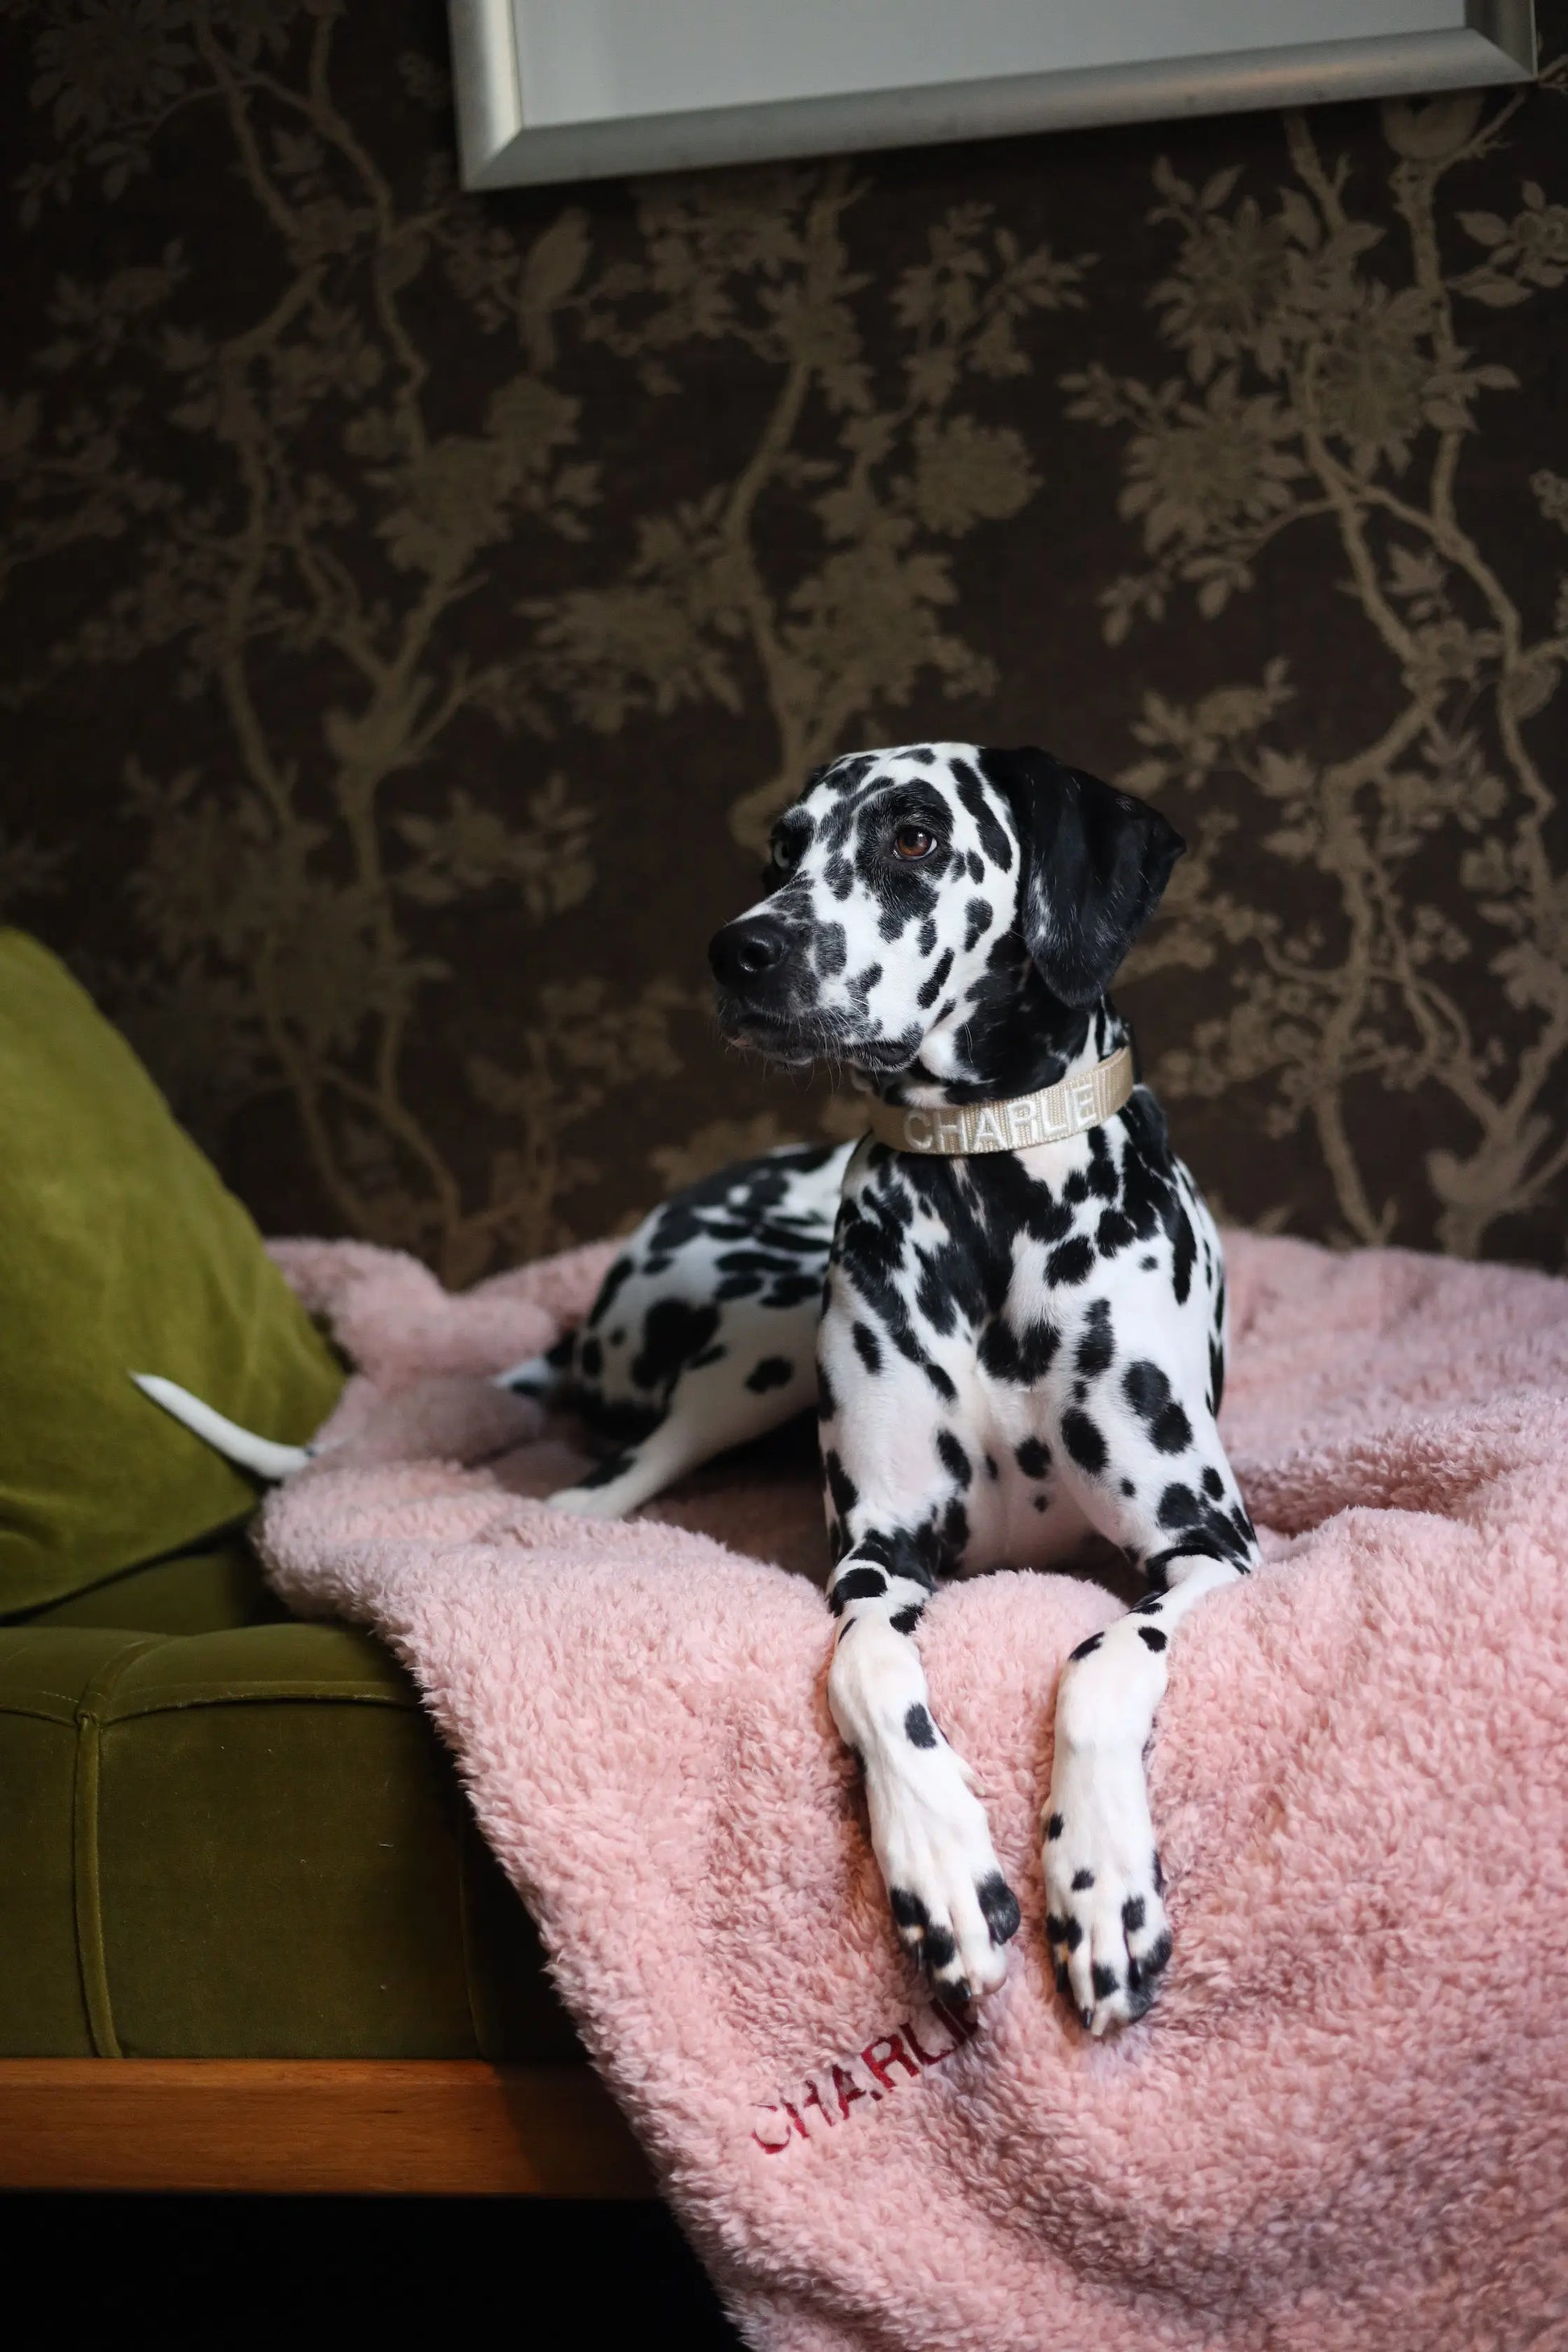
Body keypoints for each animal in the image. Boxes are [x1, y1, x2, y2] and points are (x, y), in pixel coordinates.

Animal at [503, 743, 1259, 2032]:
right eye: (780, 847)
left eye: (913, 835)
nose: (741, 949)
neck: (988, 1184)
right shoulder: (877, 1553)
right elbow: (865, 1668)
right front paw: (942, 1866)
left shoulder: (1210, 1541)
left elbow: (1103, 1659)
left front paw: (1100, 1880)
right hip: (749, 1348)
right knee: (618, 1466)